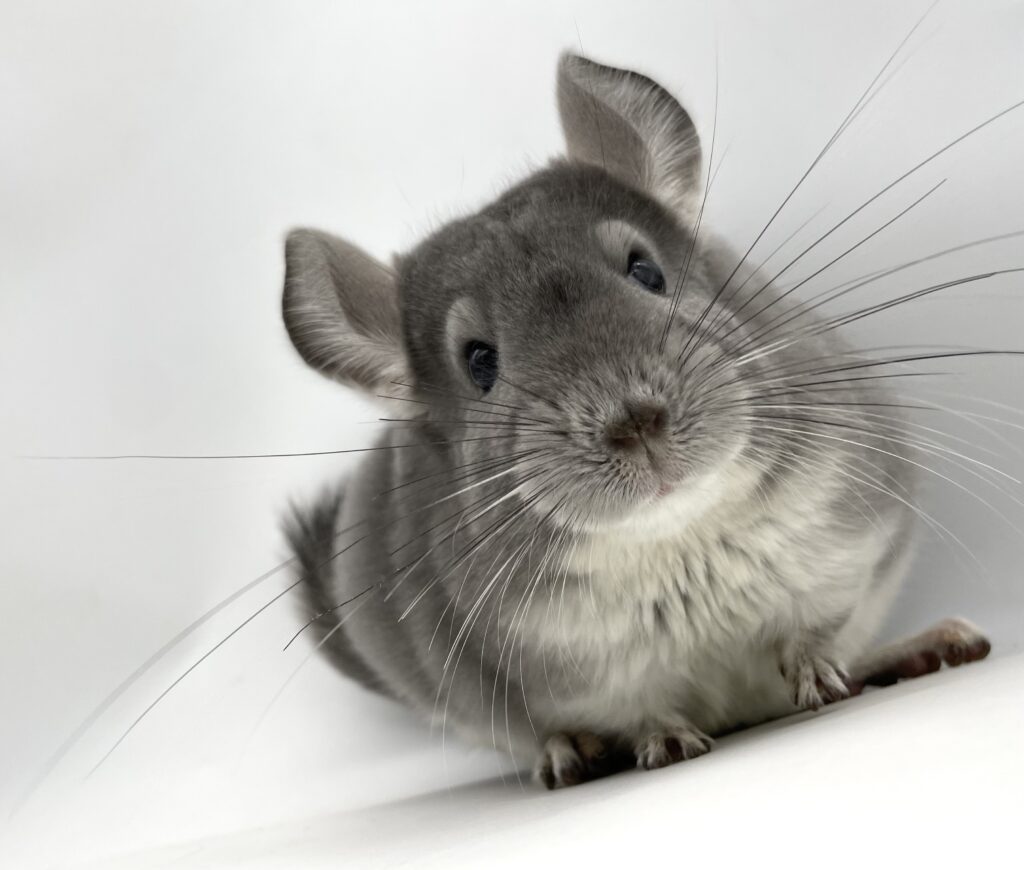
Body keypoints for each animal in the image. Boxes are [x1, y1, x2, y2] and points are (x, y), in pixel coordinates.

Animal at [281, 54, 991, 788]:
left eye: (646, 270)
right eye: (479, 362)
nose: (636, 424)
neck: (677, 533)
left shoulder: (846, 553)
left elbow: (815, 633)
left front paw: (823, 676)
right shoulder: (578, 677)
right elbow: (635, 710)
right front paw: (665, 744)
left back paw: (927, 647)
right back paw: (571, 758)